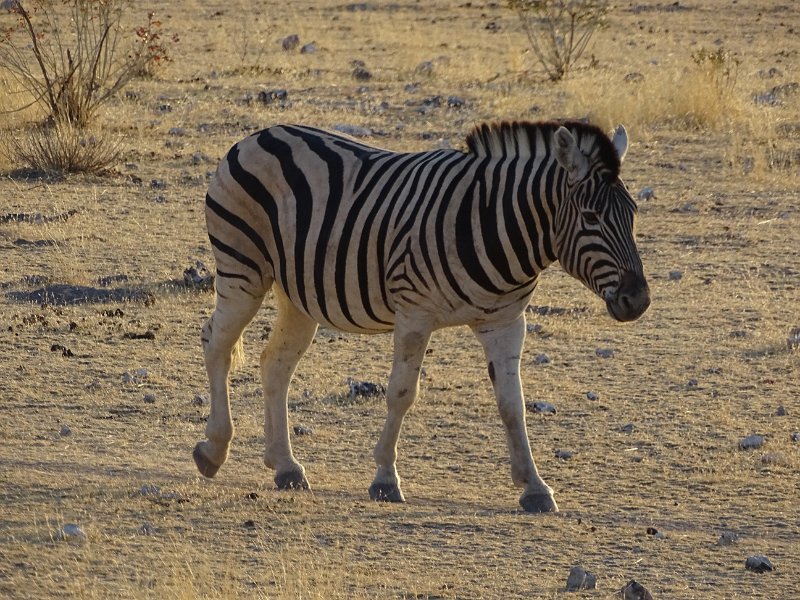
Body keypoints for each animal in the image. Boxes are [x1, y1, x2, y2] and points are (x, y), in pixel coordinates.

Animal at [194, 119, 648, 512]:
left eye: (633, 214)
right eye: (591, 217)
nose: (639, 300)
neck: (495, 223)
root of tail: (259, 135)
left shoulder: (505, 322)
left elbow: (512, 404)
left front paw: (535, 487)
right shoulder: (415, 314)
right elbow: (401, 394)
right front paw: (385, 479)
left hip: (299, 294)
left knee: (275, 363)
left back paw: (286, 467)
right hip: (243, 271)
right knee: (216, 343)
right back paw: (213, 450)